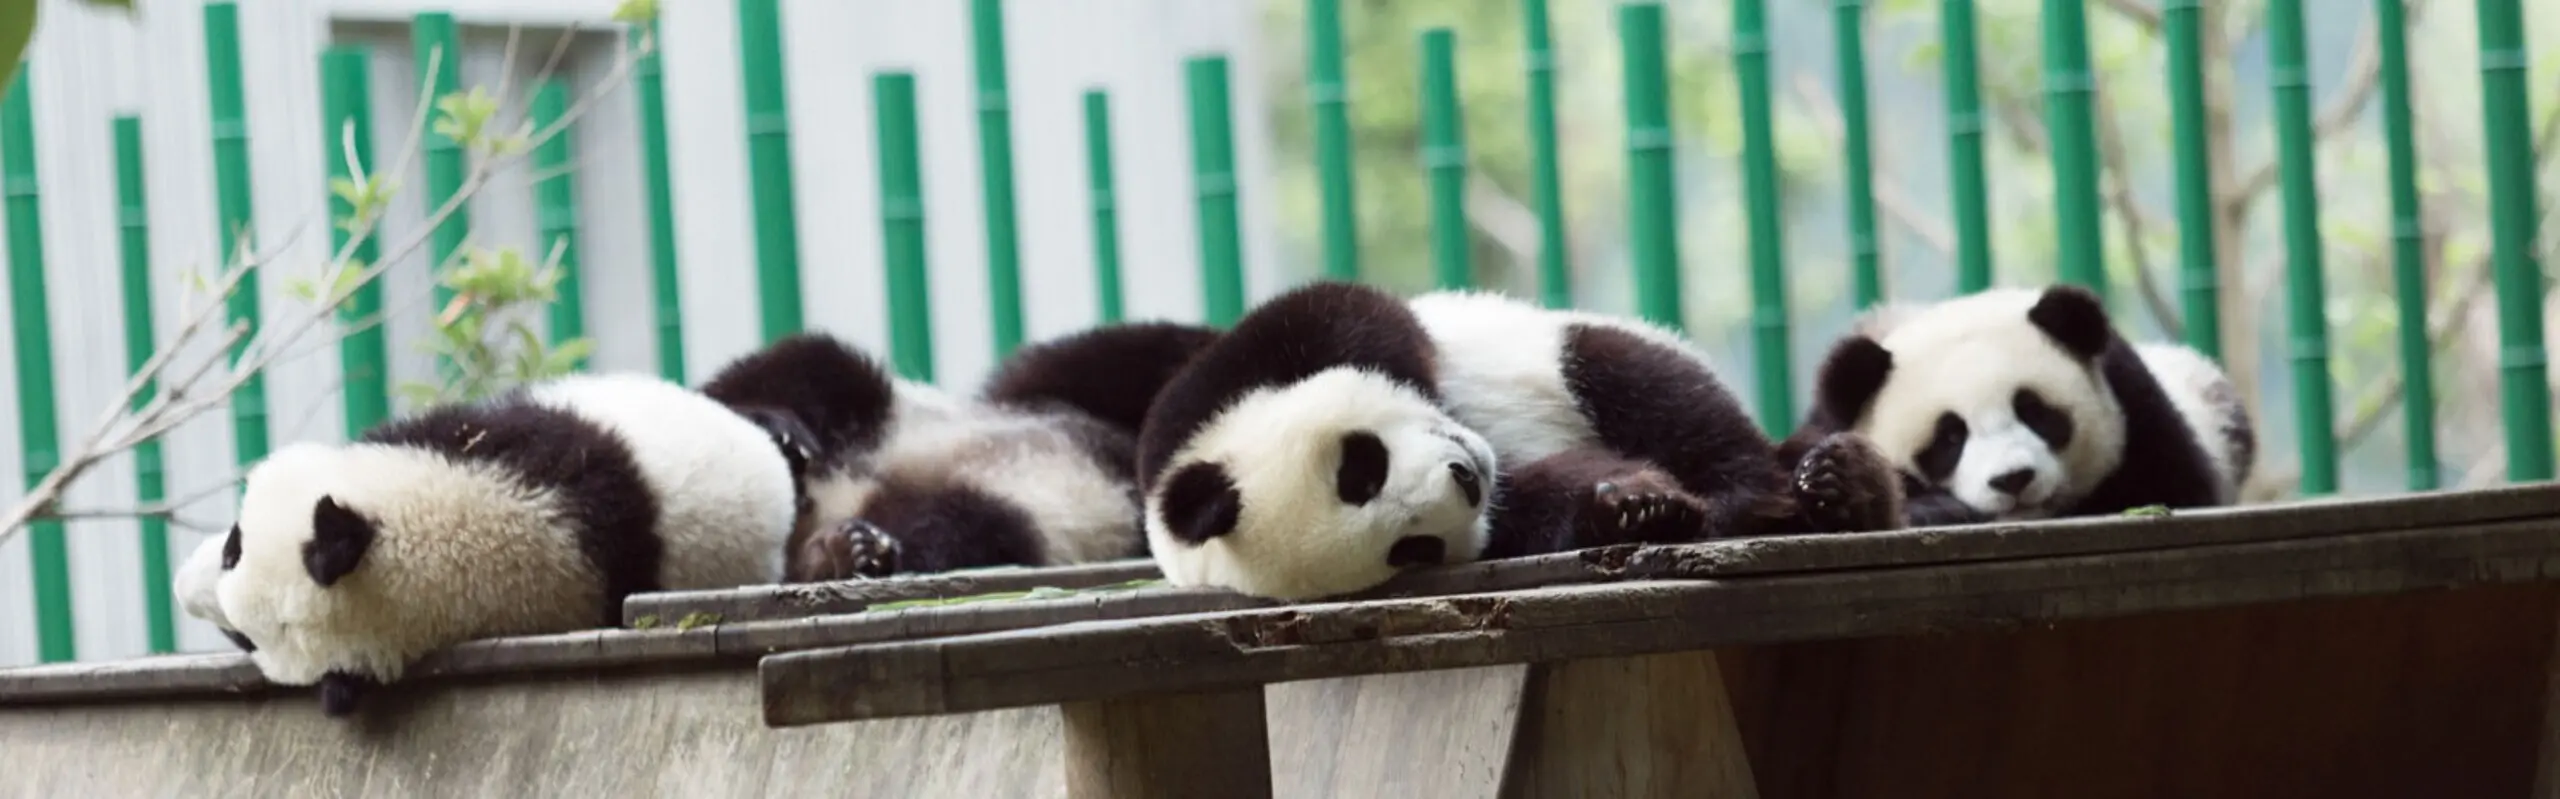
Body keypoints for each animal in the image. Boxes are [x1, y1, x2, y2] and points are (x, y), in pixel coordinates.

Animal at [698, 322, 1221, 582]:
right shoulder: (1050, 387)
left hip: (1029, 519)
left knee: (962, 528)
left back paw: (838, 554)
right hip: (884, 415)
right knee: (817, 368)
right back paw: (780, 438)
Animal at [1135, 281, 1905, 601]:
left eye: (1361, 468)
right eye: (1411, 549)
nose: (1465, 477)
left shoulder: (1212, 383)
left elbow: (1359, 319)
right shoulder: (1499, 521)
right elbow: (1537, 508)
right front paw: (1633, 507)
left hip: (1575, 346)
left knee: (1648, 385)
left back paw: (1817, 486)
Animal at [1782, 283, 2256, 527]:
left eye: (2034, 412)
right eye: (1950, 437)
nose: (2012, 479)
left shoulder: (2141, 411)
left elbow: (2172, 488)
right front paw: (1843, 483)